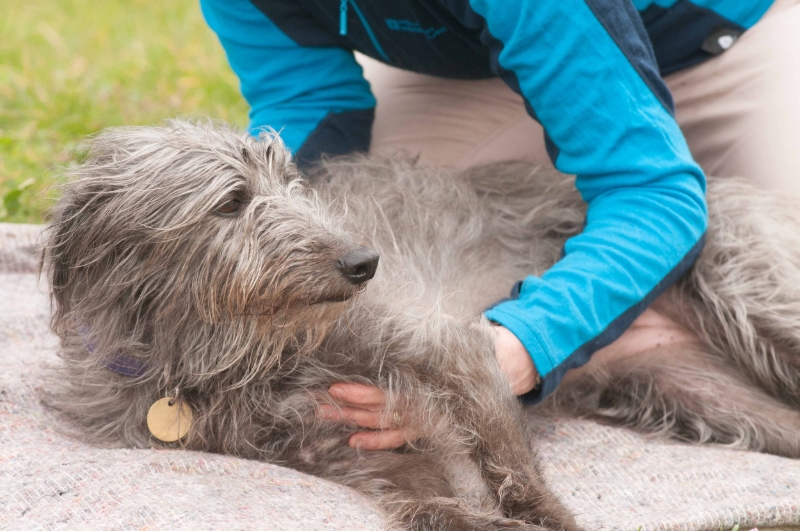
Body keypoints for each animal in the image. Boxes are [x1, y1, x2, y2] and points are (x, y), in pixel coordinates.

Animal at [40, 121, 800, 531]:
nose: (362, 262)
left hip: (755, 301)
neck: (230, 349)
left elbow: (513, 468)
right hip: (693, 392)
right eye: (231, 200)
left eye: (292, 182)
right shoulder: (363, 454)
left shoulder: (451, 349)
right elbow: (438, 508)